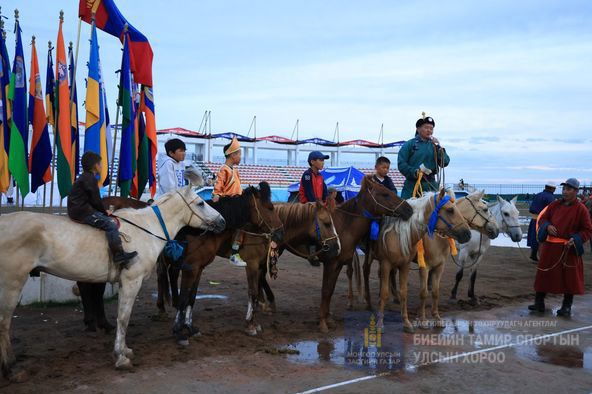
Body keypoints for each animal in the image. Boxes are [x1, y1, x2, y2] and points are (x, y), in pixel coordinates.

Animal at [0, 174, 227, 374]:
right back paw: (10, 365)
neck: (146, 228)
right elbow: (123, 318)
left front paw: (124, 350)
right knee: (4, 322)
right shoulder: (131, 281)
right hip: (12, 283)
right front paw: (120, 356)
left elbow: (121, 316)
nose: (222, 221)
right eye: (200, 203)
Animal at [364, 191, 470, 332]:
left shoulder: (431, 266)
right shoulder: (418, 266)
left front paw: (431, 319)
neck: (400, 234)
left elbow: (427, 292)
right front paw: (381, 323)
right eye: (450, 210)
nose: (468, 234)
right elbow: (419, 292)